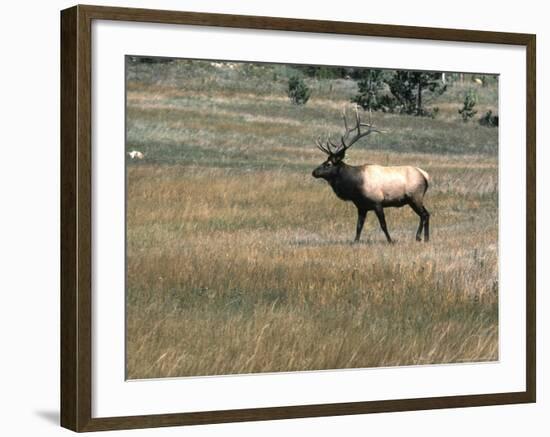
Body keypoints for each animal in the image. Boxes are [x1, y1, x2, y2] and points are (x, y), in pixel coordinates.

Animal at [312, 105, 434, 242]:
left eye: (328, 164)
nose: (314, 172)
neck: (354, 187)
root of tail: (425, 175)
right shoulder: (361, 206)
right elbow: (359, 226)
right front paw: (355, 241)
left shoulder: (377, 202)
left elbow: (383, 225)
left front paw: (390, 241)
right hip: (413, 199)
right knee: (425, 214)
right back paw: (423, 238)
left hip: (415, 196)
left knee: (425, 214)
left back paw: (421, 237)